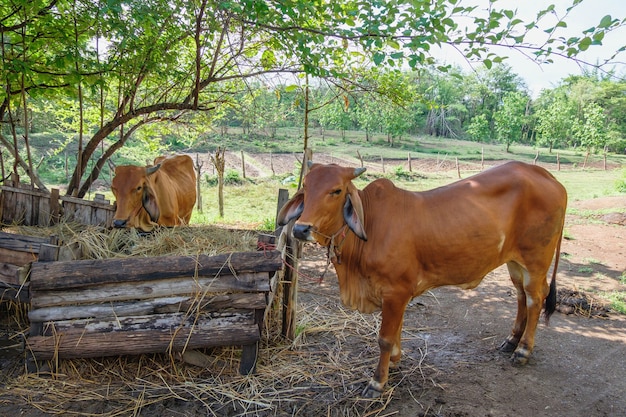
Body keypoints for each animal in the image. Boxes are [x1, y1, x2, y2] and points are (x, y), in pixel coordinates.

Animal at [278, 160, 564, 396]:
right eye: (306, 186)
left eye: (336, 191)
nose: (301, 229)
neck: (372, 226)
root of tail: (545, 174)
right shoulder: (397, 294)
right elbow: (396, 330)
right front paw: (394, 361)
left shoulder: (396, 291)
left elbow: (384, 337)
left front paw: (377, 382)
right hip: (515, 263)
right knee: (521, 296)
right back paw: (511, 341)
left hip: (536, 261)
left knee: (535, 299)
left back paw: (523, 350)